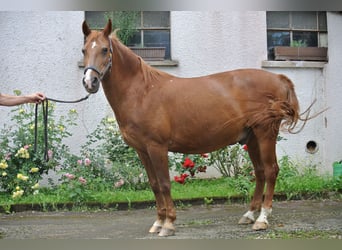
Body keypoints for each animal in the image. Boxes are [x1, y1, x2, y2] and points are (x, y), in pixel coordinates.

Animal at [82, 20, 300, 236]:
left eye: (104, 49)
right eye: (84, 50)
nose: (89, 82)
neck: (142, 92)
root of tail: (279, 78)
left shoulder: (157, 147)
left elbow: (164, 184)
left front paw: (168, 224)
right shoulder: (142, 150)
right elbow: (154, 184)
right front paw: (158, 222)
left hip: (265, 133)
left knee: (271, 171)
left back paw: (262, 218)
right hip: (252, 137)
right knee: (260, 172)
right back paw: (249, 215)